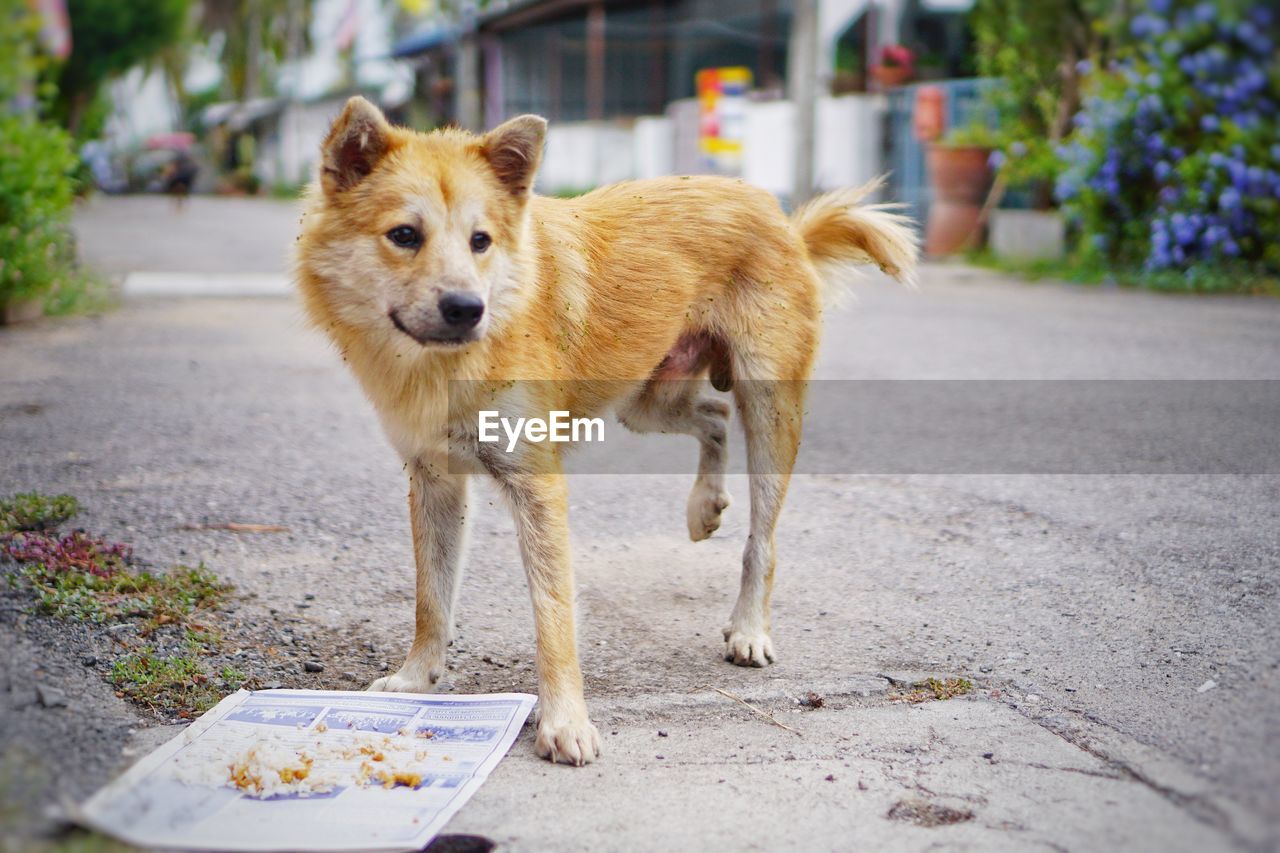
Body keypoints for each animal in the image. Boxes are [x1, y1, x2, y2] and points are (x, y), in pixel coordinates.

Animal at [296, 96, 921, 758]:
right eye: (404, 236)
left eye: (480, 241)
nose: (468, 310)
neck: (448, 362)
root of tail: (785, 224)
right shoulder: (434, 481)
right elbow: (431, 597)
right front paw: (416, 678)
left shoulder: (536, 484)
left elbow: (552, 612)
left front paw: (564, 720)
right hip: (647, 402)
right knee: (714, 416)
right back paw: (705, 506)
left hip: (770, 410)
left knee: (763, 537)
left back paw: (750, 626)